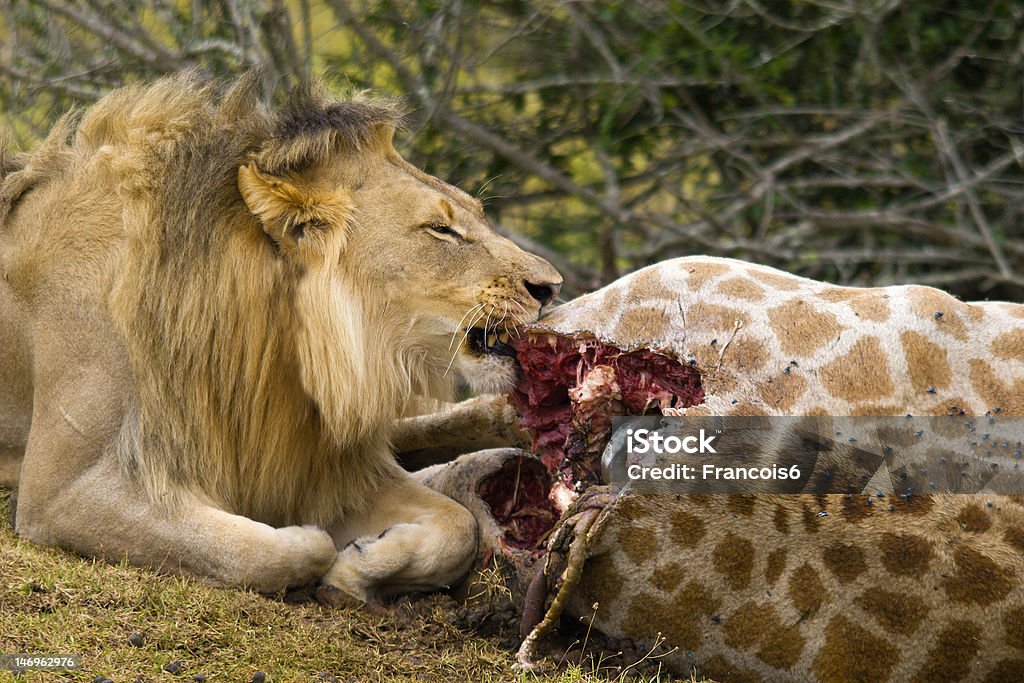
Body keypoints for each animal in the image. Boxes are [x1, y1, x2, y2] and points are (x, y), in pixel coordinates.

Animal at [0, 72, 561, 602]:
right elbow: (269, 549)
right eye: (440, 231)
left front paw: (357, 570)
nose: (550, 286)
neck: (275, 346)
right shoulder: (60, 492)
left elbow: (458, 527)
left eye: (478, 214)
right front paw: (313, 545)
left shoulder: (321, 468)